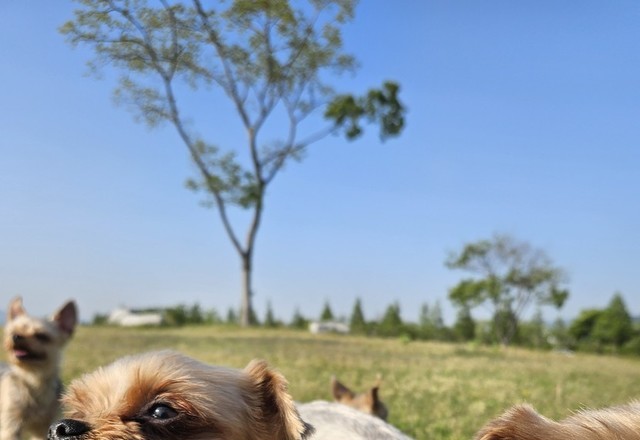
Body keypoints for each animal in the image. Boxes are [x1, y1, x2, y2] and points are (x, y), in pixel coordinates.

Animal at [1, 296, 78, 440]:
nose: (16, 336)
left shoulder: (45, 426)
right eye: (13, 331)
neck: (34, 378)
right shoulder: (11, 424)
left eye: (41, 336)